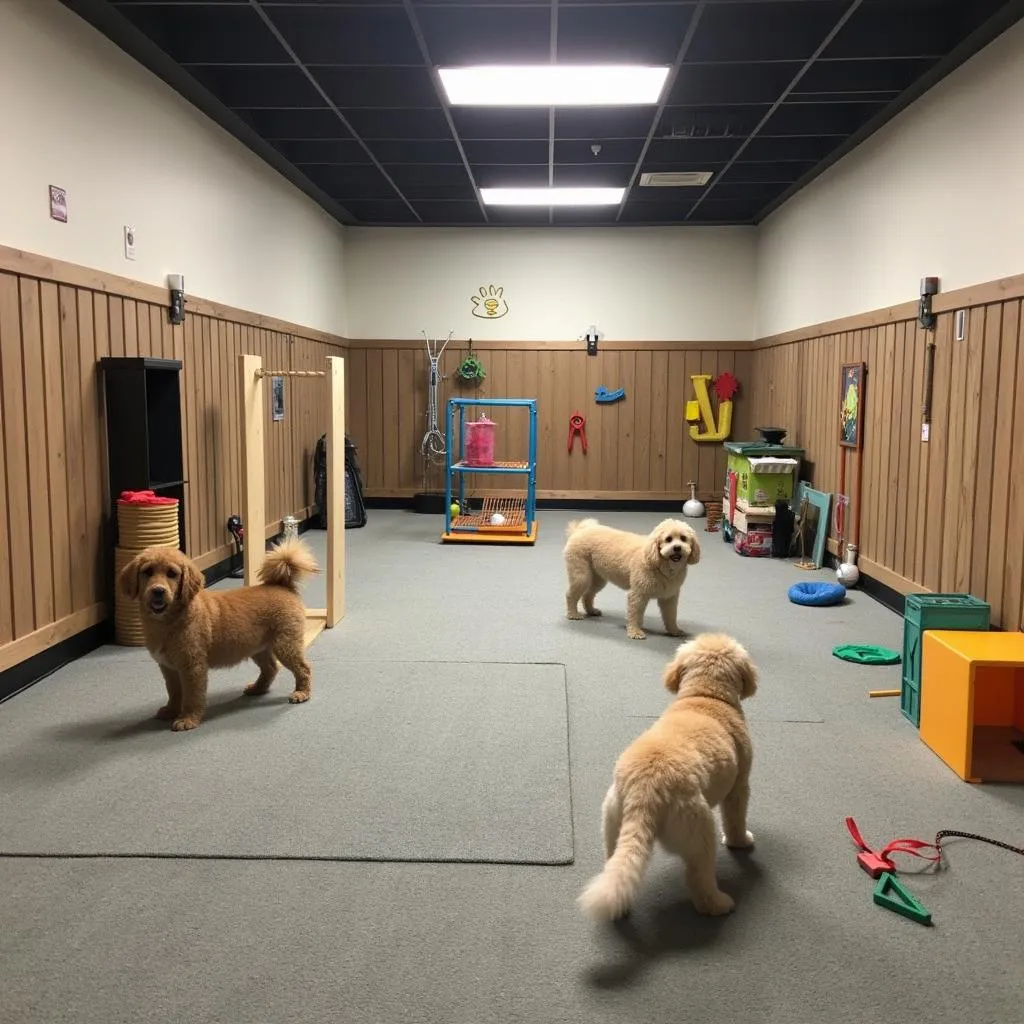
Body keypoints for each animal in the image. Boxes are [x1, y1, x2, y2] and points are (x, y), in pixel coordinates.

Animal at [117, 540, 315, 733]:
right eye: (147, 572)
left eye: (172, 574)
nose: (158, 591)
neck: (168, 622)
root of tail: (283, 586)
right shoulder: (168, 667)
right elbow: (173, 691)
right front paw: (171, 710)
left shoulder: (193, 667)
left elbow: (192, 696)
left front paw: (188, 719)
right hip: (258, 647)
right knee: (271, 668)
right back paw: (258, 688)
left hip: (285, 645)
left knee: (304, 668)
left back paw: (302, 693)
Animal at [565, 520, 700, 638]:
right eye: (668, 539)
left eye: (683, 538)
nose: (677, 547)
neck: (659, 563)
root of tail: (579, 530)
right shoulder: (638, 594)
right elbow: (635, 614)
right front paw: (635, 632)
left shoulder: (669, 597)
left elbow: (671, 616)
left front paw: (674, 631)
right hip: (582, 576)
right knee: (570, 595)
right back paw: (573, 614)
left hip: (598, 579)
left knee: (587, 595)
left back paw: (591, 610)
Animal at [581, 630, 757, 921]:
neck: (706, 696)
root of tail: (644, 792)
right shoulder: (739, 786)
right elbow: (735, 820)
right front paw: (740, 841)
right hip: (699, 832)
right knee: (699, 879)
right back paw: (718, 904)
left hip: (612, 822)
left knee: (617, 870)